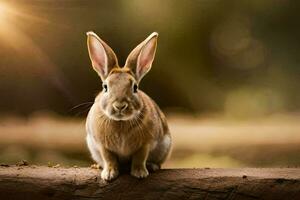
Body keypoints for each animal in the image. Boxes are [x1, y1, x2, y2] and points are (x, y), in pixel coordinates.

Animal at [85, 31, 172, 181]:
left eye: (135, 87)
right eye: (105, 87)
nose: (120, 106)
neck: (121, 122)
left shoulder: (145, 144)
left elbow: (139, 158)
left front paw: (140, 173)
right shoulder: (102, 146)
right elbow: (109, 158)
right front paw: (109, 174)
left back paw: (152, 166)